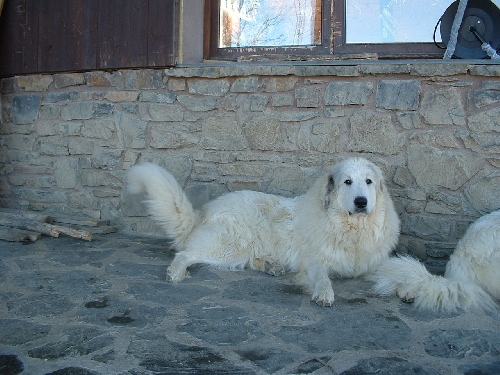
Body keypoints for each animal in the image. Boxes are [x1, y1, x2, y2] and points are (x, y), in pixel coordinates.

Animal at [127, 157, 400, 306]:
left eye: (368, 181)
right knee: (185, 253)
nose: (361, 202)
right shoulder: (314, 262)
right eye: (347, 182)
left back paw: (269, 266)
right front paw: (324, 293)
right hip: (231, 245)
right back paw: (176, 273)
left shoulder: (373, 263)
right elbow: (323, 277)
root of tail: (203, 211)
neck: (352, 230)